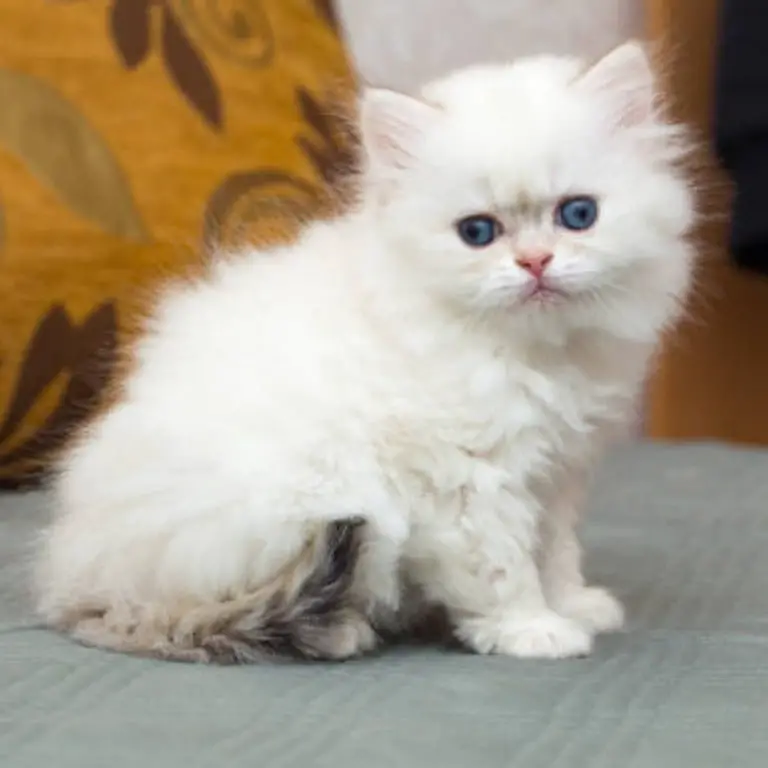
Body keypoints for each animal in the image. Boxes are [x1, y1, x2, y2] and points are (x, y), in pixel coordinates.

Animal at [34, 42, 696, 664]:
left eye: (578, 215)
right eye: (477, 232)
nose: (535, 263)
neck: (531, 352)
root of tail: (84, 587)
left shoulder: (557, 473)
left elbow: (555, 550)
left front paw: (574, 604)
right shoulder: (469, 482)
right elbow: (503, 565)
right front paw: (532, 629)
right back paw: (346, 630)